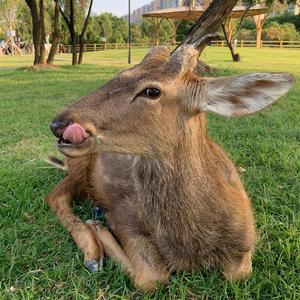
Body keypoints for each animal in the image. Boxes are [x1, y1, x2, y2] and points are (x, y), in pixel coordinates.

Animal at [45, 0, 296, 290]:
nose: (59, 124)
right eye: (121, 74)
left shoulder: (245, 245)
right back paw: (92, 253)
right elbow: (151, 277)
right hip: (80, 163)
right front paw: (99, 227)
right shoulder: (125, 213)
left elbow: (238, 274)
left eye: (152, 91)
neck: (192, 244)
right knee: (54, 196)